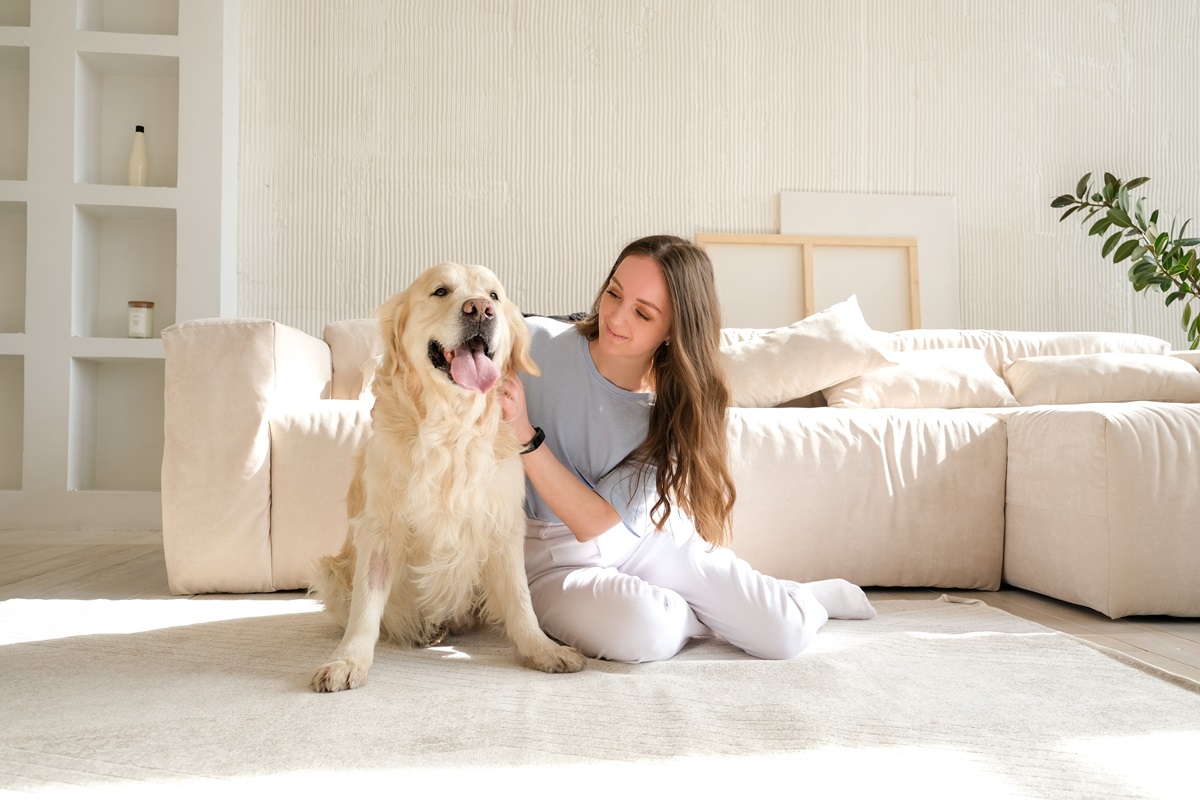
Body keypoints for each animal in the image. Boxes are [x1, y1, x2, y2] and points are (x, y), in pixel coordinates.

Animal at [309, 260, 585, 690]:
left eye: (493, 296)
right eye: (440, 291)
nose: (480, 310)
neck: (452, 425)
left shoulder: (504, 523)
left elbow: (520, 597)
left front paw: (542, 649)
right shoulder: (381, 526)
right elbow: (366, 605)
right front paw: (348, 661)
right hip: (330, 571)